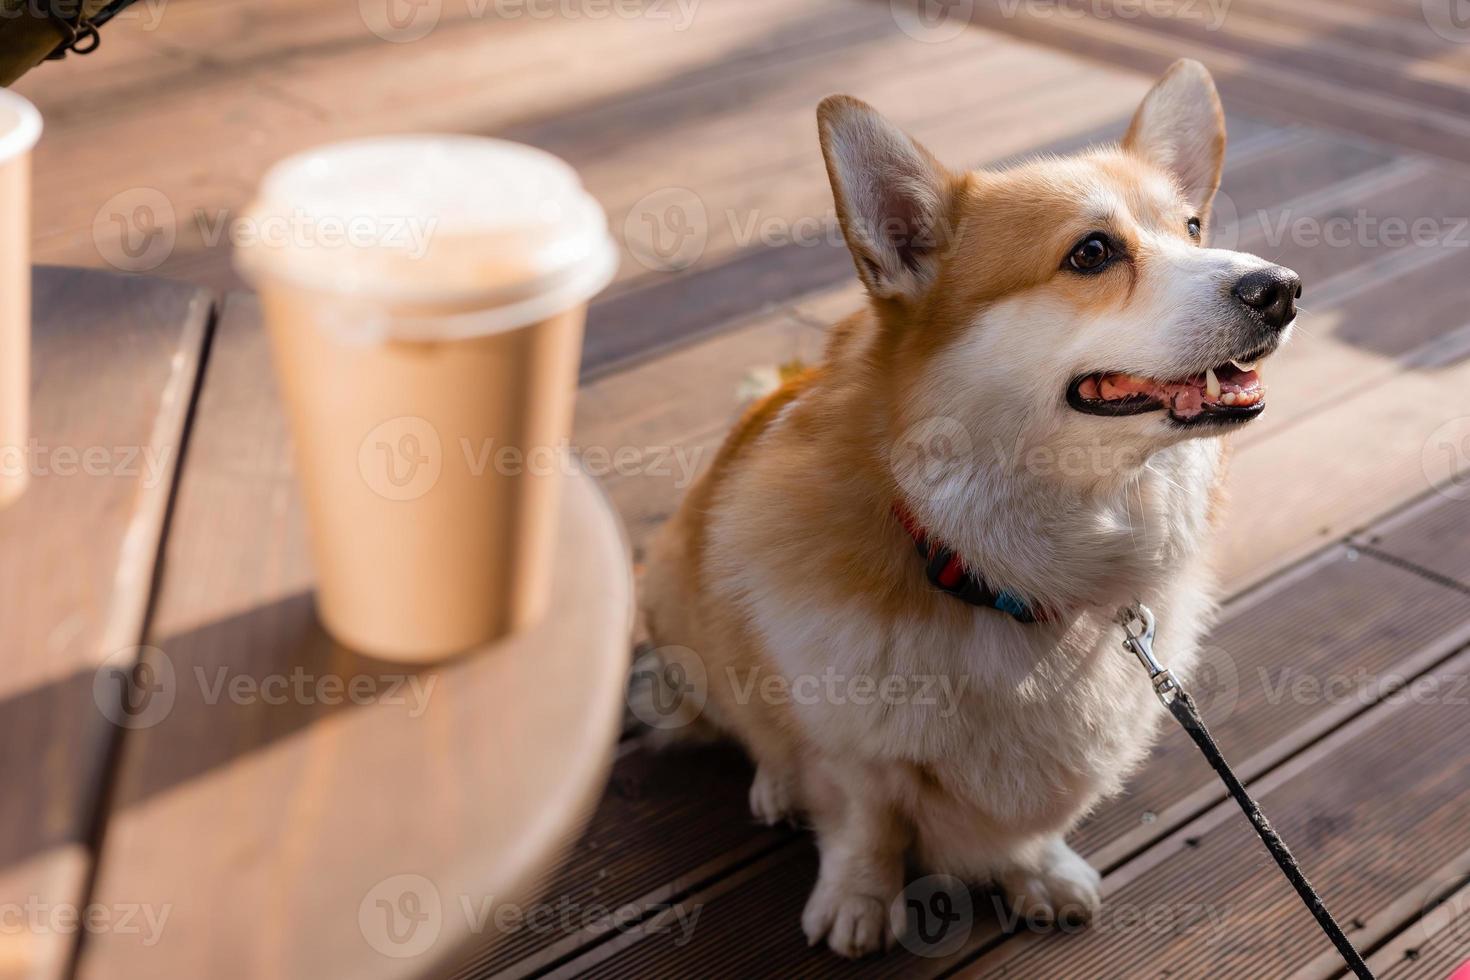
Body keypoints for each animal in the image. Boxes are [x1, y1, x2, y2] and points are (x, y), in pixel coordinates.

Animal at [640, 61, 1299, 957]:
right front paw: (859, 900)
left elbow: (1021, 831)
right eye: (1092, 252)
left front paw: (1036, 872)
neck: (992, 567)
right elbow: (865, 818)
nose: (1284, 290)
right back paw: (775, 784)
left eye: (1194, 226)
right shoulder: (851, 746)